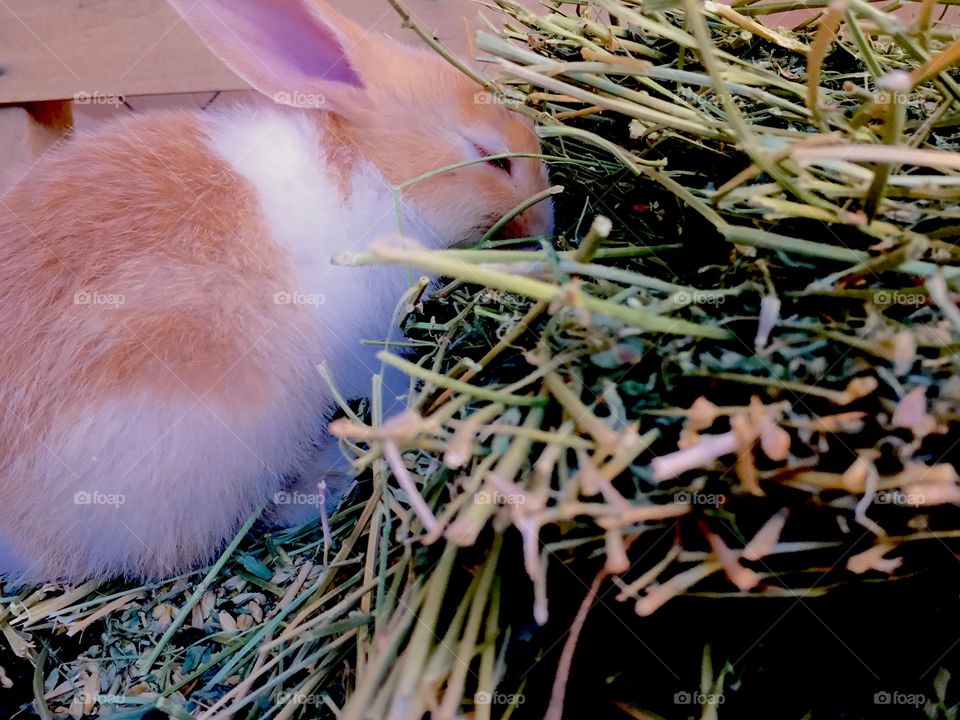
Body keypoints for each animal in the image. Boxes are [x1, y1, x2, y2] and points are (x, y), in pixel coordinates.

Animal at [0, 0, 554, 584]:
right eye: (492, 157)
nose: (549, 224)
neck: (377, 169)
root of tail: (12, 539)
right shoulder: (368, 339)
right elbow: (392, 379)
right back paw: (328, 477)